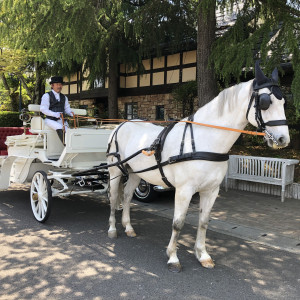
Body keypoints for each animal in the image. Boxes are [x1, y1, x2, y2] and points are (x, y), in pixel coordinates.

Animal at [106, 62, 290, 272]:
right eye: (265, 102)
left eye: (284, 103)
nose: (283, 139)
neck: (204, 140)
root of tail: (121, 125)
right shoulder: (184, 190)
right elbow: (178, 223)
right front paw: (173, 257)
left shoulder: (211, 190)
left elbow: (203, 222)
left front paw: (202, 255)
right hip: (115, 171)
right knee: (114, 197)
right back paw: (112, 229)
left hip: (136, 173)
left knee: (128, 196)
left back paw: (128, 227)